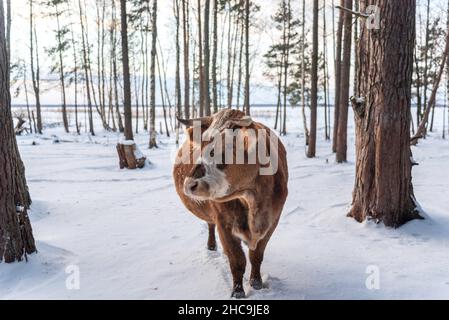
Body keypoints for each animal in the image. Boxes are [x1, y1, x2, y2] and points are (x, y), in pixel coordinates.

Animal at [172, 109, 288, 298]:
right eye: (200, 147)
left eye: (225, 149)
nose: (189, 184)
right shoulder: (224, 223)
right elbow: (237, 260)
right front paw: (238, 291)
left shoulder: (273, 221)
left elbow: (256, 255)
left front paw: (256, 282)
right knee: (210, 225)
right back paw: (211, 246)